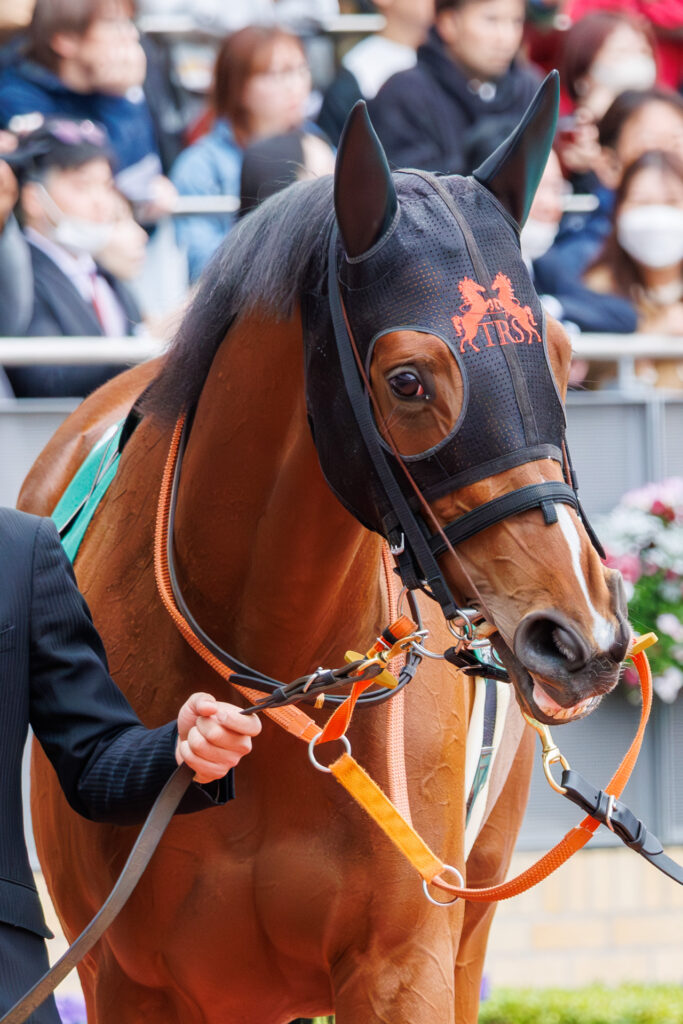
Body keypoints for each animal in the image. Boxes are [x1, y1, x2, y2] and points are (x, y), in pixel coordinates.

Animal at [19, 76, 630, 1024]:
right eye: (407, 380)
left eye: (562, 356)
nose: (581, 639)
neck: (276, 686)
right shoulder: (128, 980)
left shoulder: (405, 966)